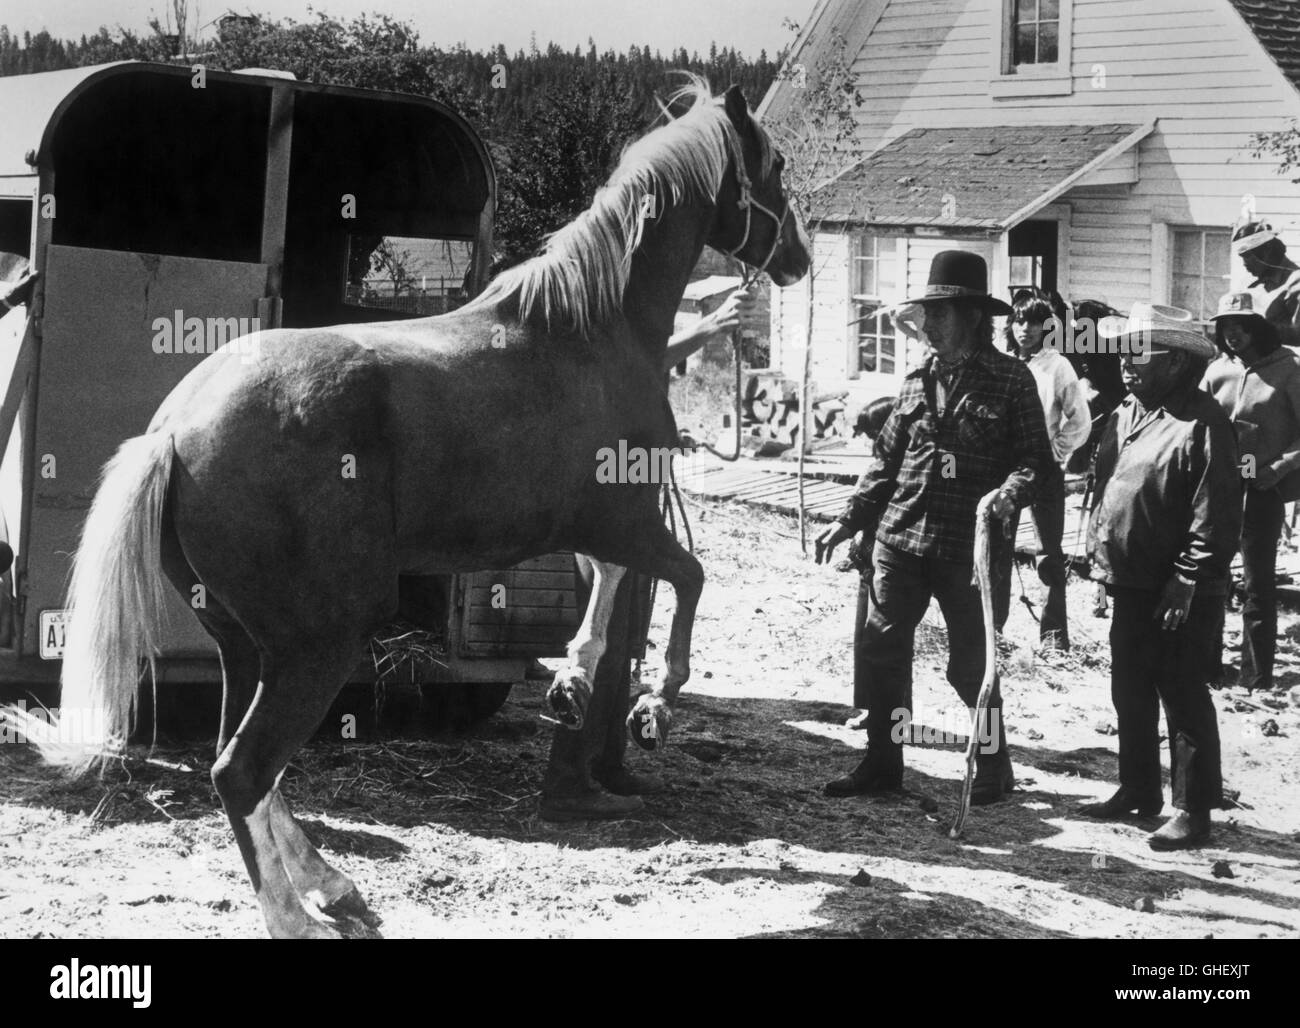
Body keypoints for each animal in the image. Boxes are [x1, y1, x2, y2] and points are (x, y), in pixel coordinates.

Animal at [5, 78, 806, 940]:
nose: (799, 258)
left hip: (244, 644)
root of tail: (173, 434)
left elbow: (614, 583)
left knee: (240, 762)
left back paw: (336, 887)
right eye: (775, 165)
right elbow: (686, 580)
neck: (592, 328)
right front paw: (653, 703)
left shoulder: (591, 526)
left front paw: (575, 678)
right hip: (317, 645)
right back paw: (299, 915)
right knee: (242, 769)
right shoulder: (623, 516)